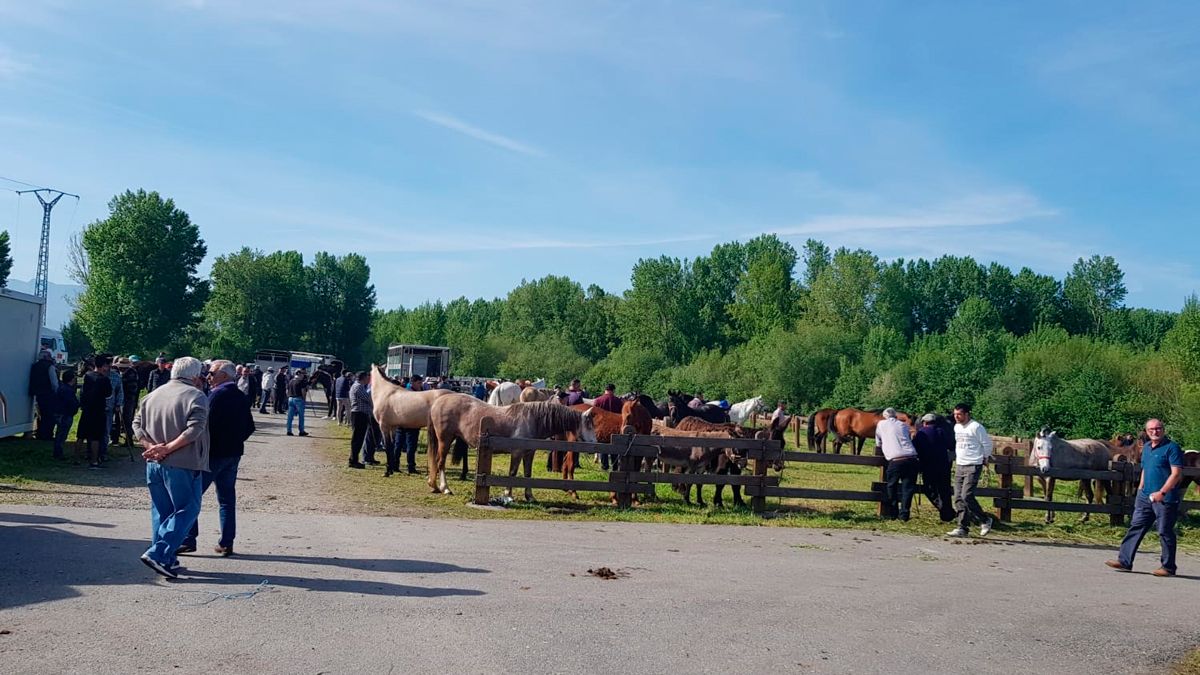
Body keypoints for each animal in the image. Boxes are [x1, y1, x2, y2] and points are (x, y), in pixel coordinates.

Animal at [432, 393, 600, 499]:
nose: (595, 444)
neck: (533, 419)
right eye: (589, 425)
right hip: (445, 440)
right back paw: (445, 488)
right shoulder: (517, 452)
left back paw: (434, 486)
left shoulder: (529, 453)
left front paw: (530, 496)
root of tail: (438, 401)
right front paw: (508, 495)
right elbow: (512, 473)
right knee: (440, 463)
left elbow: (527, 474)